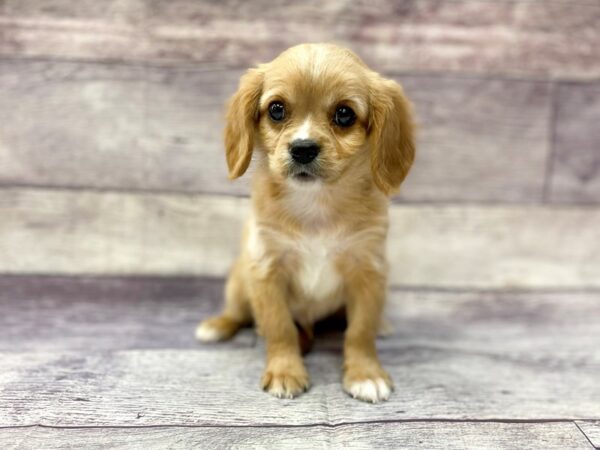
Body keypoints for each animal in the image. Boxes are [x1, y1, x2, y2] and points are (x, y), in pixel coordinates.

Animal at [196, 44, 412, 402]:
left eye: (344, 114)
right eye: (277, 110)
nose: (303, 148)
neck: (315, 205)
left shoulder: (367, 271)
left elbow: (360, 331)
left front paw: (365, 374)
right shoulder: (267, 269)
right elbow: (280, 327)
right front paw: (286, 372)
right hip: (239, 283)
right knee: (238, 313)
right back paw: (217, 326)